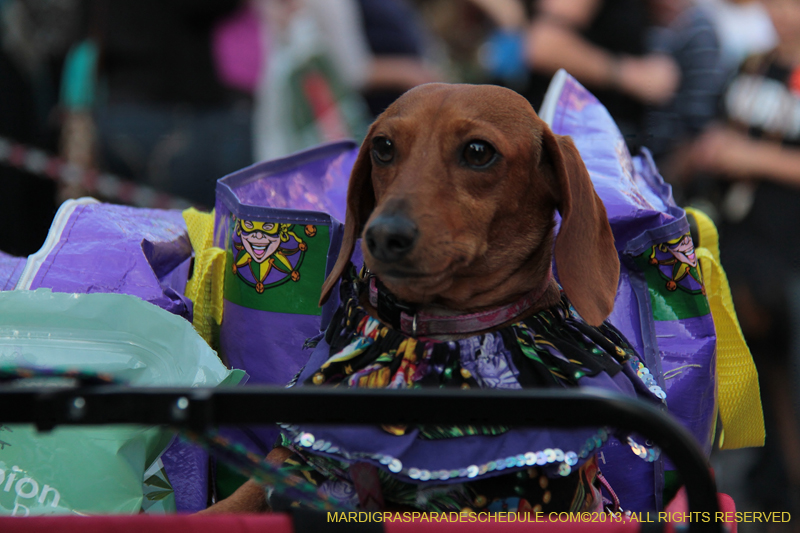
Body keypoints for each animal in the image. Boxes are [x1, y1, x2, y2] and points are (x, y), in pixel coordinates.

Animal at [205, 84, 620, 516]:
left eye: (478, 151)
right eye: (383, 146)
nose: (383, 235)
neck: (428, 328)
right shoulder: (297, 456)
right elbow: (245, 493)